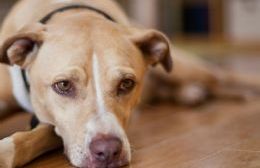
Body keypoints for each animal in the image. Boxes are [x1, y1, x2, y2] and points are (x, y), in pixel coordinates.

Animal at [0, 0, 258, 168]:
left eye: (126, 83)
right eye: (63, 85)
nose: (108, 151)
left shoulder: (55, 127)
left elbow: (31, 138)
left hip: (187, 69)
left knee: (225, 77)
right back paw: (191, 94)